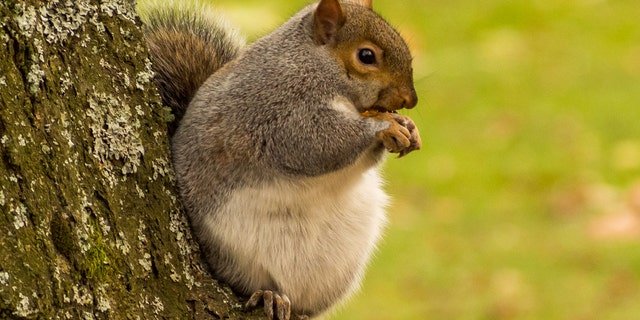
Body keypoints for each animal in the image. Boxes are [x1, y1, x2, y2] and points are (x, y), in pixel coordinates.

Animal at [140, 0, 420, 318]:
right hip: (240, 256)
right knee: (253, 284)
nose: (411, 100)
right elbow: (318, 144)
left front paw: (409, 127)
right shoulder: (280, 113)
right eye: (366, 56)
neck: (314, 64)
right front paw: (383, 127)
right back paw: (269, 296)